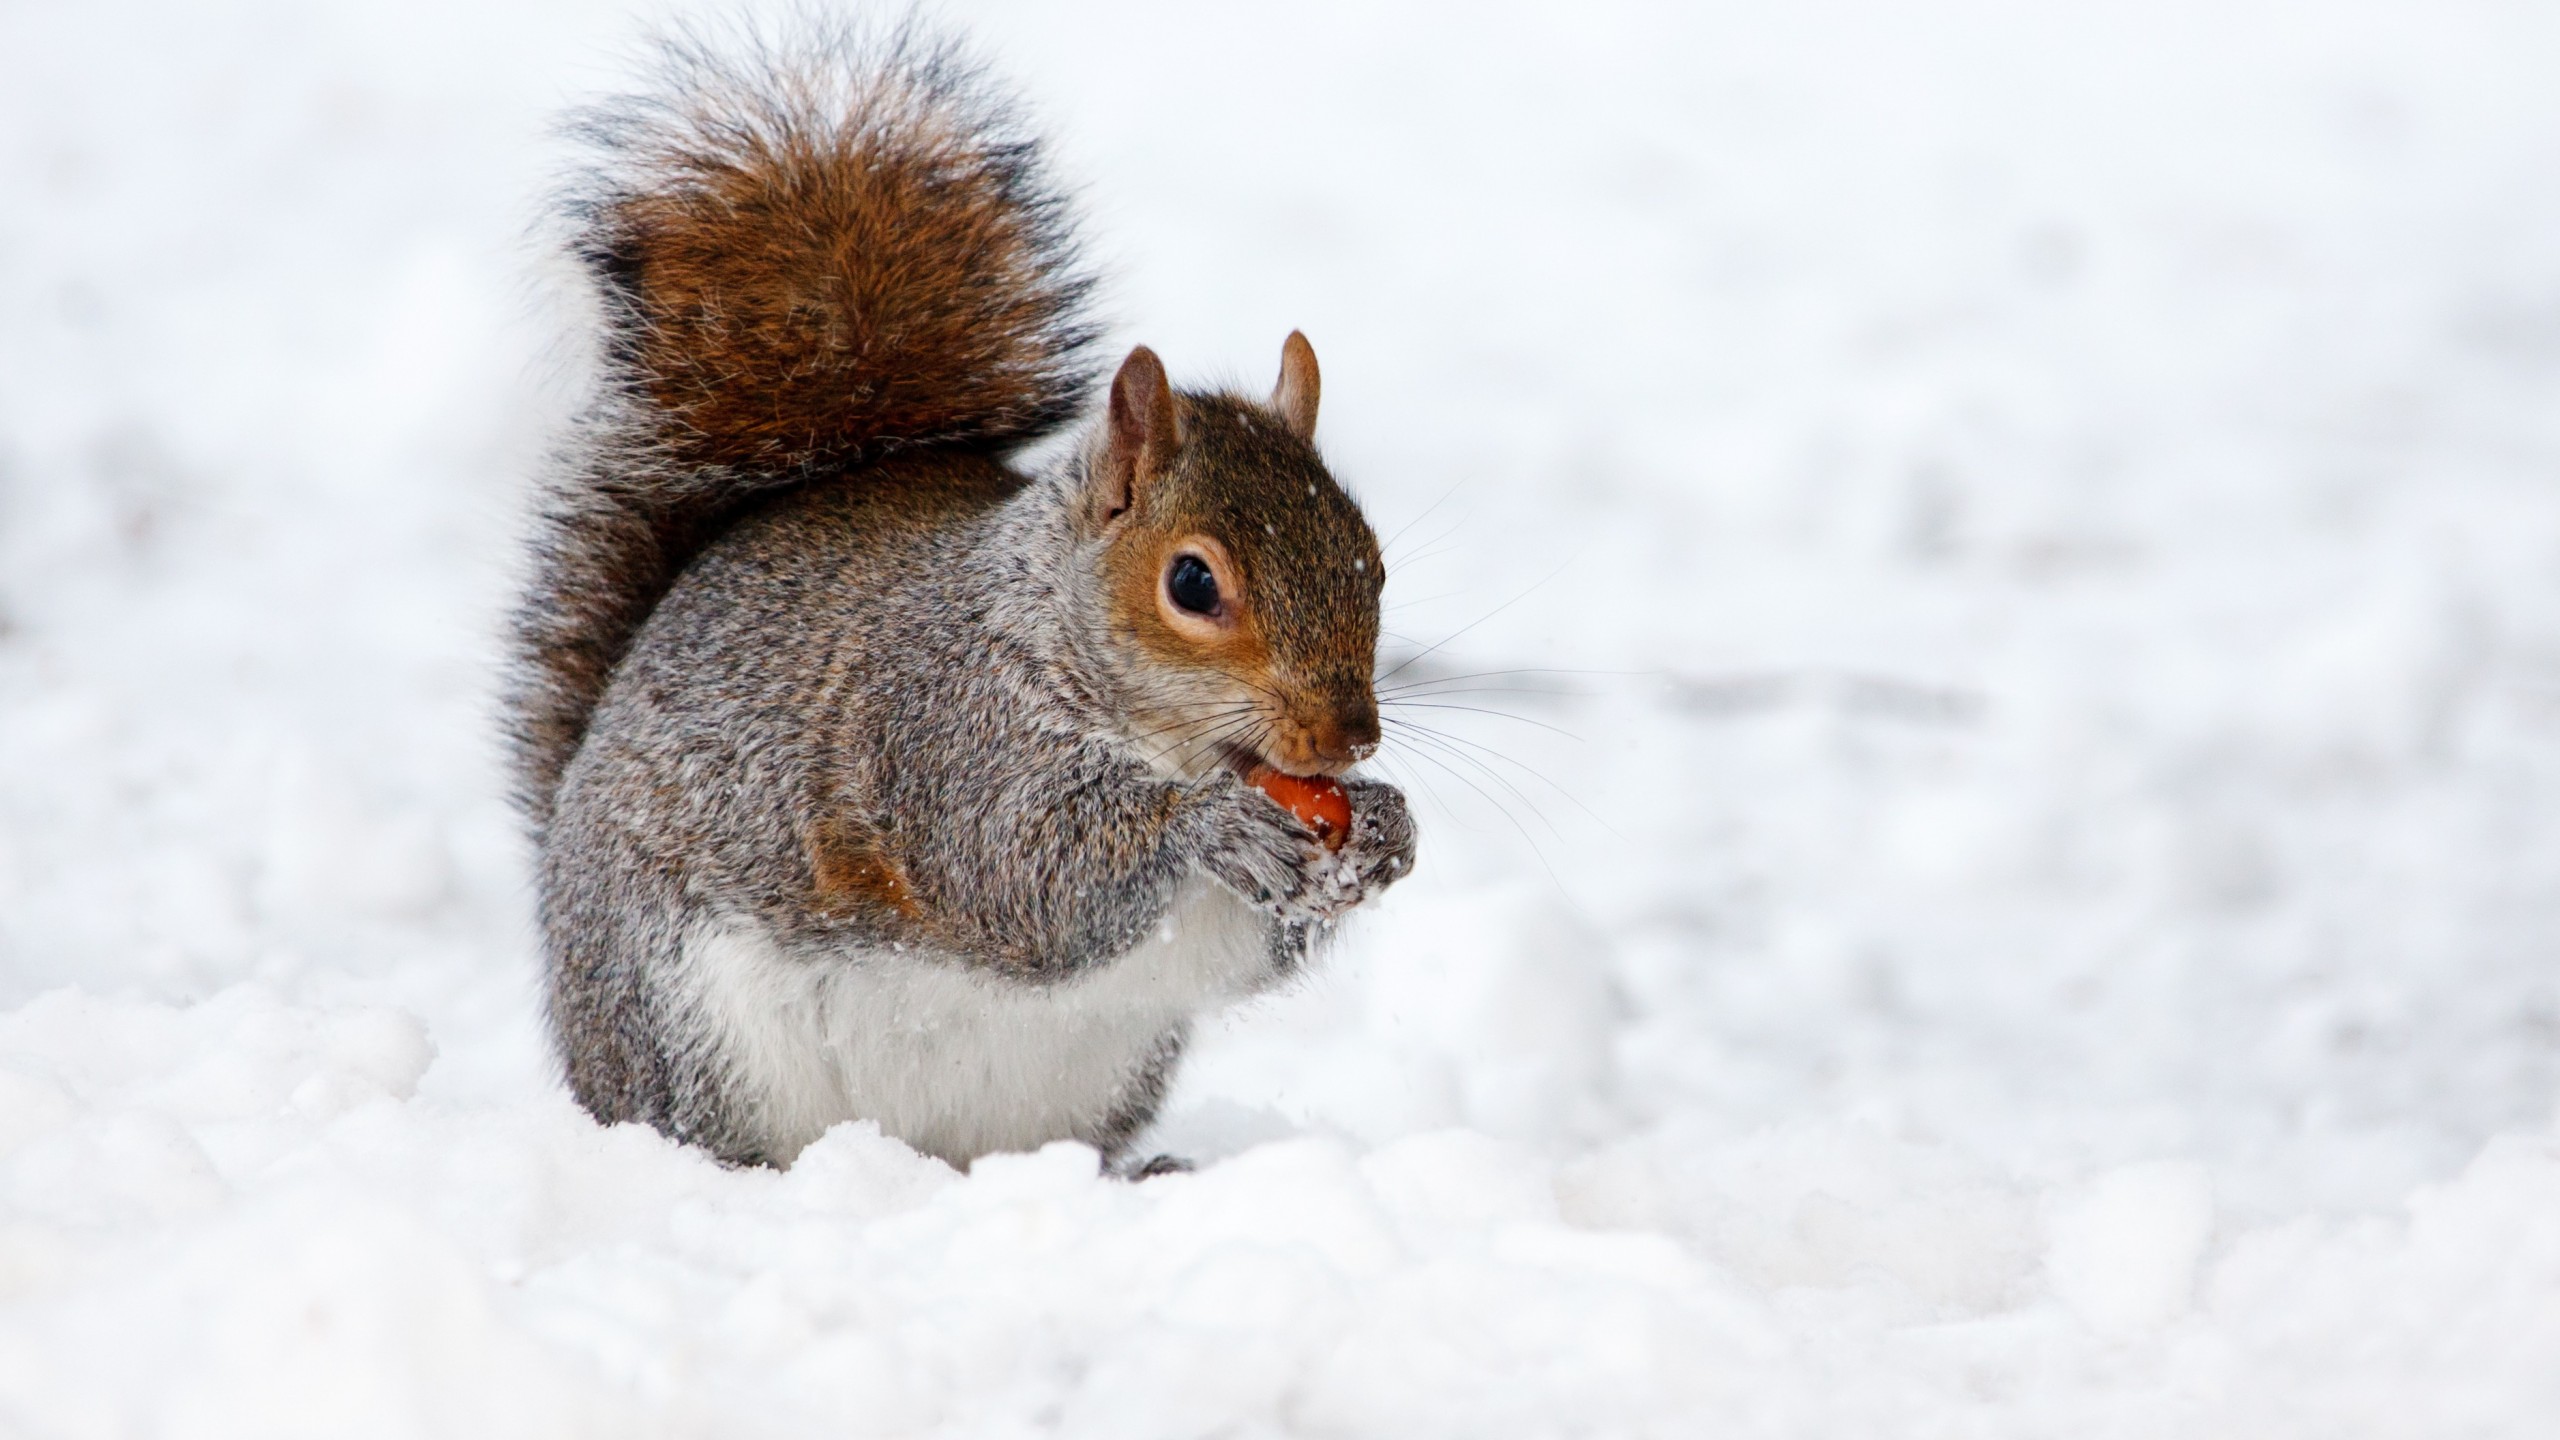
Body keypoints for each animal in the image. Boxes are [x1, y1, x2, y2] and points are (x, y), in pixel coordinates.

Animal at [505, 24, 1417, 1173]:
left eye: (1372, 561)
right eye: (1192, 582)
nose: (1349, 739)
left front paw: (1385, 830)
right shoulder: (943, 733)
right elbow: (1021, 873)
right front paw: (1211, 828)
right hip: (686, 1028)